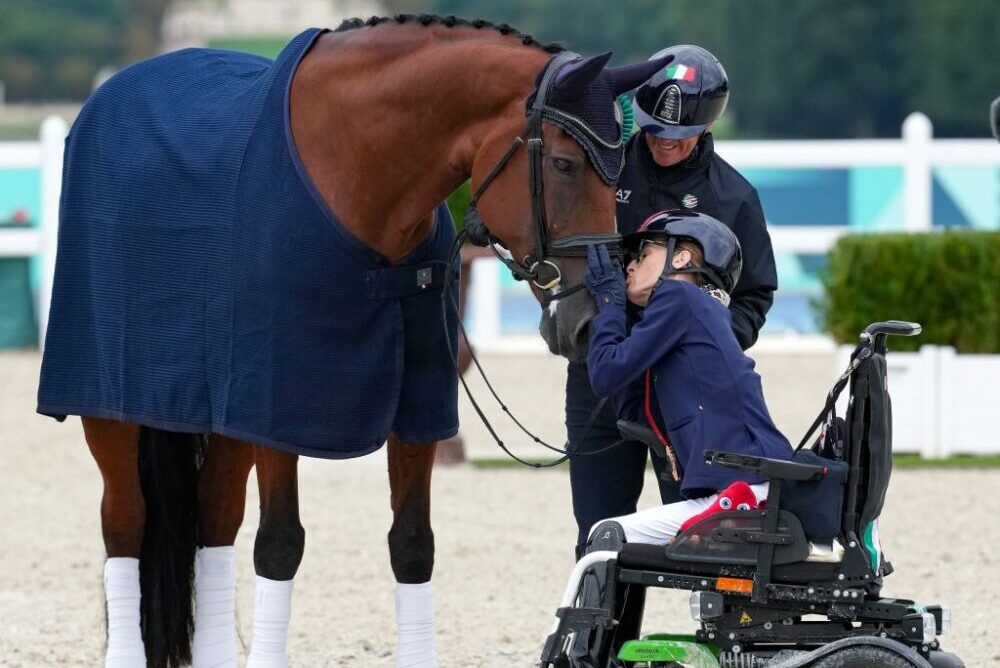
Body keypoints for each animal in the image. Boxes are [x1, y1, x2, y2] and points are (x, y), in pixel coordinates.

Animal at [35, 15, 668, 668]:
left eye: (618, 177)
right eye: (566, 165)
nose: (591, 321)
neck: (361, 187)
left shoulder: (413, 408)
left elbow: (412, 544)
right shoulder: (278, 410)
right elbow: (279, 544)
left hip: (226, 413)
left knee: (214, 519)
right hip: (114, 411)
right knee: (124, 524)